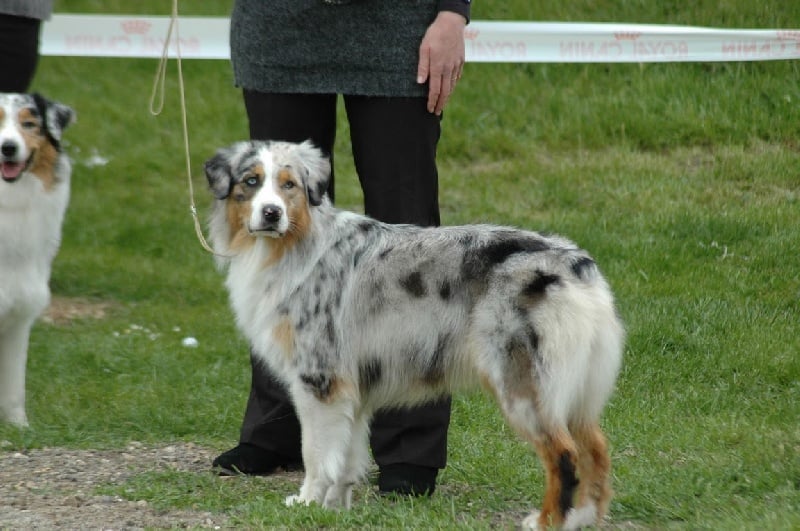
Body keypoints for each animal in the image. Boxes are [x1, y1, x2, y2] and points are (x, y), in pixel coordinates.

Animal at [204, 140, 624, 530]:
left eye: (288, 185)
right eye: (251, 181)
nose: (271, 213)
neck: (294, 244)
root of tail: (575, 263)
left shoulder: (319, 379)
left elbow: (317, 452)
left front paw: (307, 502)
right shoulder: (352, 389)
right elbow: (347, 455)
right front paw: (335, 507)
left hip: (522, 382)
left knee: (564, 453)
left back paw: (548, 520)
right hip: (574, 386)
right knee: (596, 448)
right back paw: (585, 516)